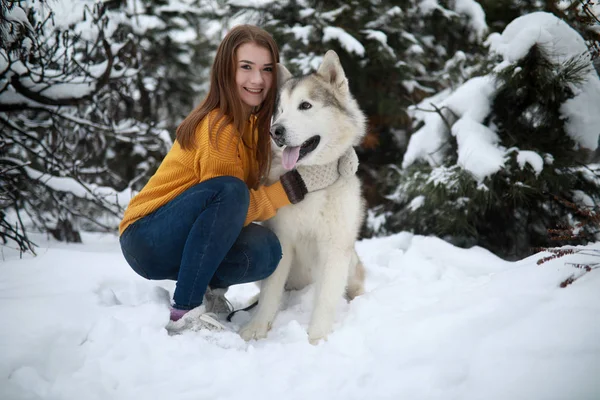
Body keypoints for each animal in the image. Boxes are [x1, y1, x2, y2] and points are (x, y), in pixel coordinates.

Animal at [238, 50, 366, 344]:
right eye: (281, 110)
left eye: (305, 106)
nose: (276, 131)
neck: (311, 183)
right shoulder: (282, 240)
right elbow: (270, 294)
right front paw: (257, 328)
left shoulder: (335, 248)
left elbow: (326, 300)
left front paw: (316, 339)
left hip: (351, 259)